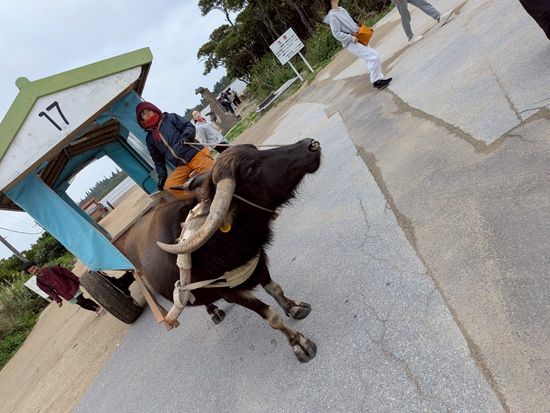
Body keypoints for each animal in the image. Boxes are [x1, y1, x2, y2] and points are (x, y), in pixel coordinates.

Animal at [123, 138, 321, 362]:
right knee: (189, 299)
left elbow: (275, 288)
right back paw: (213, 311)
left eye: (254, 149)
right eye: (251, 169)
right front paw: (299, 343)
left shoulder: (257, 261)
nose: (311, 144)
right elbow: (271, 316)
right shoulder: (230, 292)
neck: (219, 242)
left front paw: (294, 308)